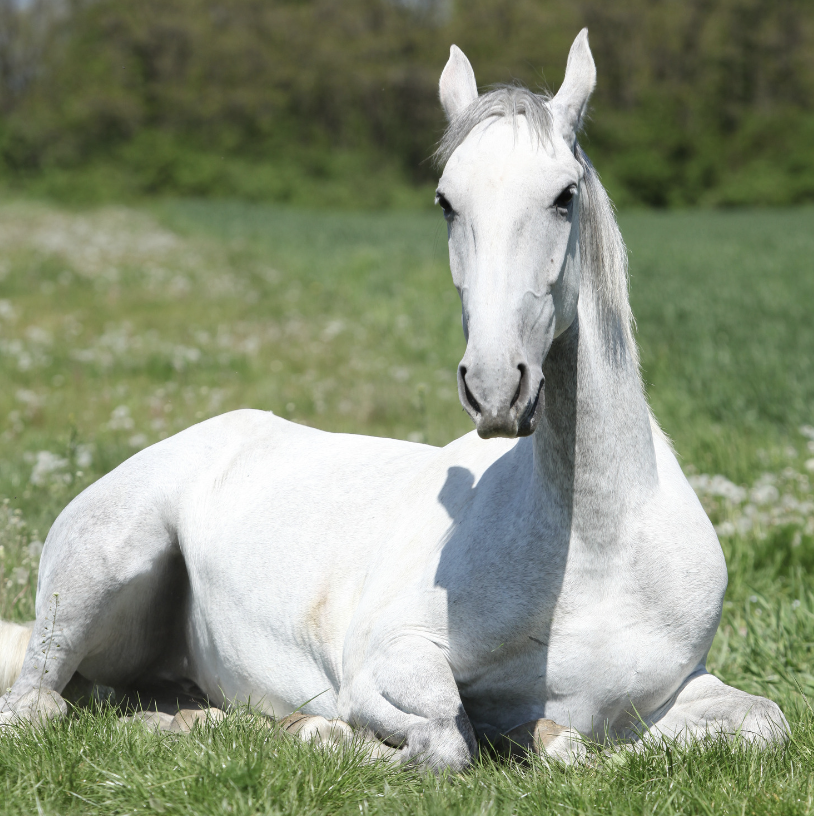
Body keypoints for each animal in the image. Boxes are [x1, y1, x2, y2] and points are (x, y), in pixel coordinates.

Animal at [0, 30, 792, 772]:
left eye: (564, 196)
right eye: (446, 202)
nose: (495, 387)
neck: (599, 548)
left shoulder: (675, 693)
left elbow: (761, 724)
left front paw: (539, 738)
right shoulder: (389, 660)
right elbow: (443, 734)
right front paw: (331, 734)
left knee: (146, 705)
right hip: (101, 572)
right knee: (38, 706)